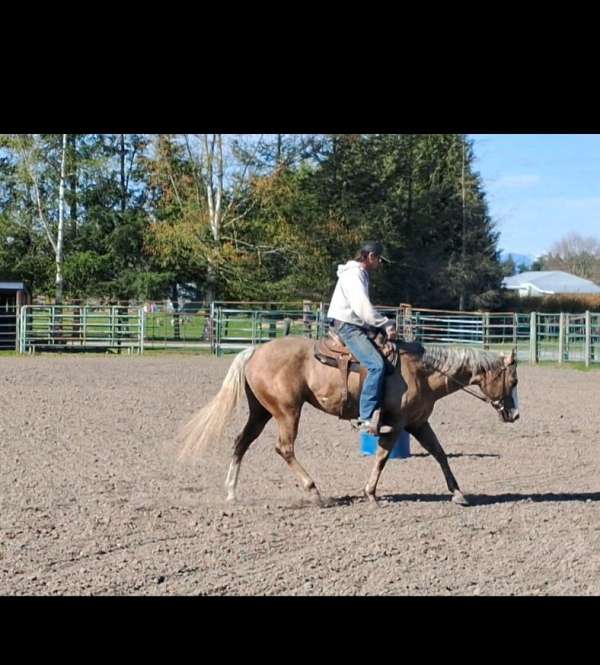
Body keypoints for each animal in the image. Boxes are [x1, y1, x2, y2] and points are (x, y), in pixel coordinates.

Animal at [179, 340, 520, 506]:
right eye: (514, 380)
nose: (515, 415)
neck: (421, 372)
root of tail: (255, 350)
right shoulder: (396, 423)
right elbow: (382, 456)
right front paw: (370, 493)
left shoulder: (418, 423)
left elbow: (440, 454)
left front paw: (458, 494)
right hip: (287, 411)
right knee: (284, 448)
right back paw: (315, 492)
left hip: (261, 411)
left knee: (242, 442)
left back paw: (231, 492)